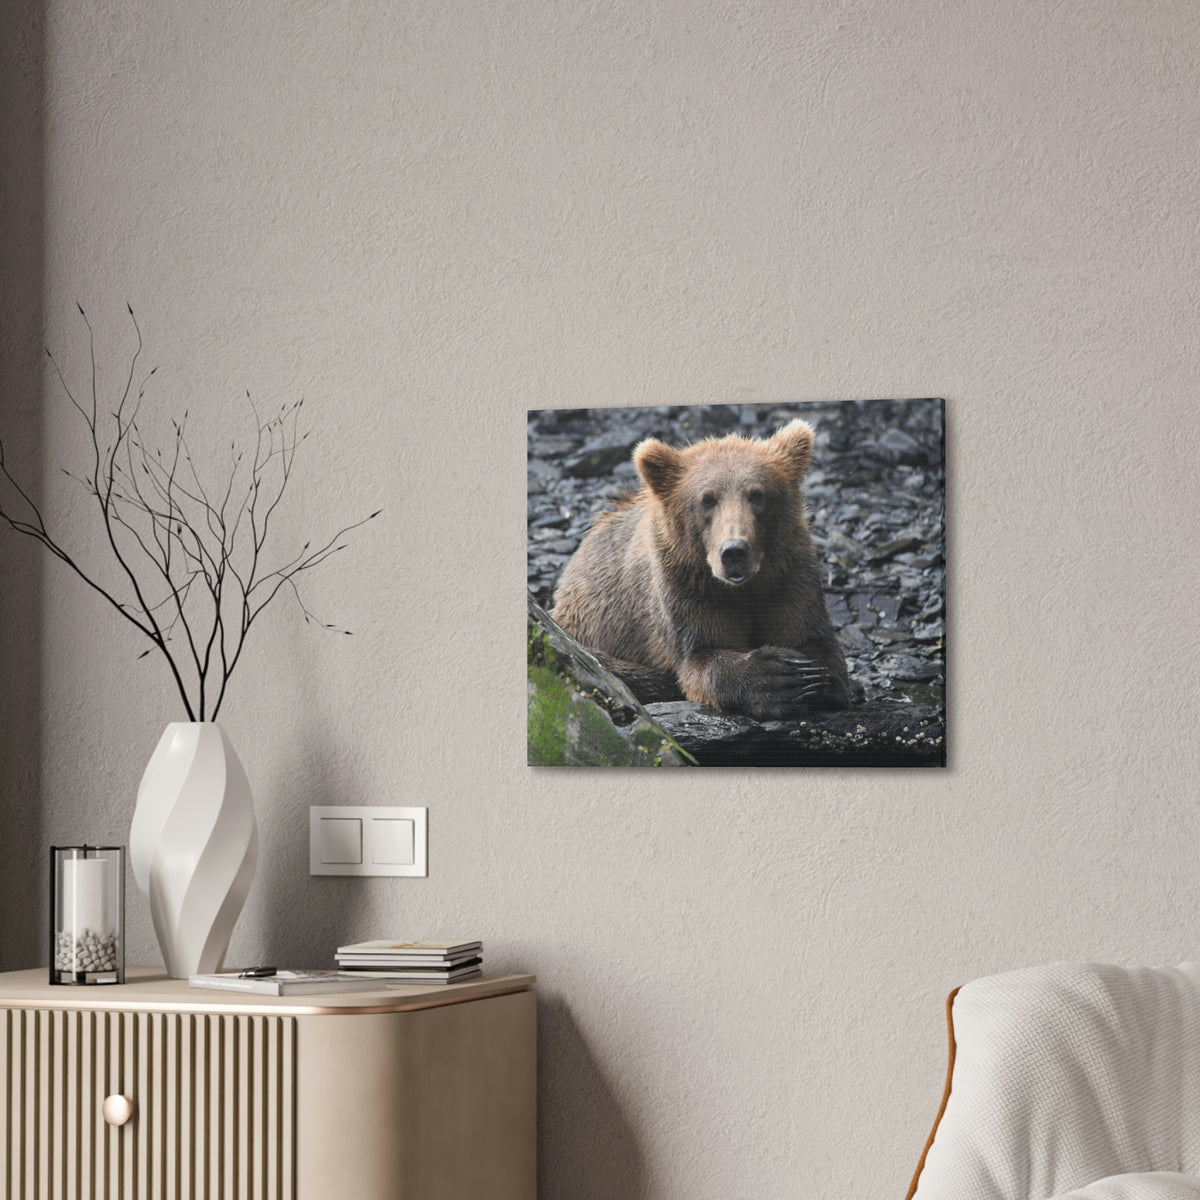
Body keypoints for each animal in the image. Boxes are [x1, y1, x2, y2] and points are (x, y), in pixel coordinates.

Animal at [550, 418, 850, 721]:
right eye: (707, 499)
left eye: (757, 495)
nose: (734, 552)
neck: (742, 588)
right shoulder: (685, 587)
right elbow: (701, 656)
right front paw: (776, 678)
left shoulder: (789, 576)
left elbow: (814, 640)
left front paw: (809, 676)